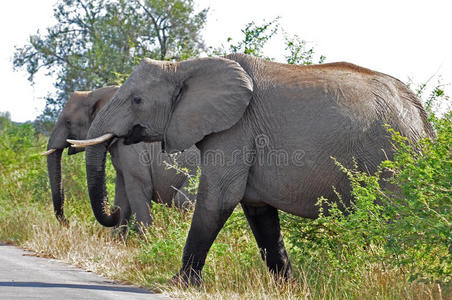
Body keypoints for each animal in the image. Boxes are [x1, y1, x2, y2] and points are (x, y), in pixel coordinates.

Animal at [43, 85, 198, 233]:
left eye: (68, 122)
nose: (68, 222)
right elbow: (122, 196)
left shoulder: (132, 149)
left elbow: (140, 187)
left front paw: (148, 238)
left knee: (182, 201)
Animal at [69, 53, 434, 284]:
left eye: (137, 100)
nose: (115, 211)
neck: (185, 66)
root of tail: (422, 117)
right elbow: (258, 211)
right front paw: (287, 288)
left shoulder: (236, 128)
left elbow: (219, 199)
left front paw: (179, 283)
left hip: (393, 158)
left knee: (396, 223)